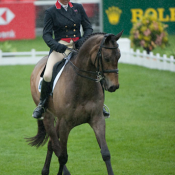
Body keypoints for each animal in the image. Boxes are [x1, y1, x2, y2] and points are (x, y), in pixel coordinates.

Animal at [27, 30, 123, 174]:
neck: (82, 85)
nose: (114, 86)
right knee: (55, 144)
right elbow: (63, 157)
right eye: (106, 58)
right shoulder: (65, 124)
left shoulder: (97, 118)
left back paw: (45, 170)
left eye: (119, 56)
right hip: (49, 116)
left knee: (51, 144)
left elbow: (106, 153)